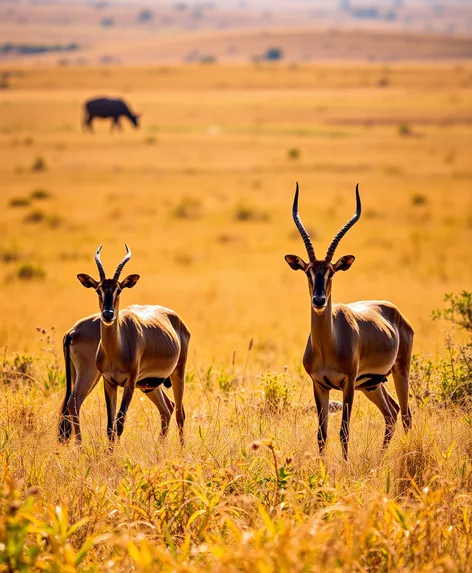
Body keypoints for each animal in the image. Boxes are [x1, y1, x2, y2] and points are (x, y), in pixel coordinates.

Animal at [59, 244, 190, 444]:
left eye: (118, 289)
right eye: (98, 289)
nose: (108, 314)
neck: (117, 348)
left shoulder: (130, 382)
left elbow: (119, 424)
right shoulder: (109, 382)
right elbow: (110, 428)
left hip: (175, 374)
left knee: (178, 412)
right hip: (145, 385)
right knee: (168, 408)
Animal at [284, 183, 412, 460]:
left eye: (331, 272)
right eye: (308, 271)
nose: (319, 300)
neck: (327, 345)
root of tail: (393, 311)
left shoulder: (348, 384)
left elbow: (344, 432)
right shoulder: (319, 385)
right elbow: (321, 435)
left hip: (399, 371)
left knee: (406, 414)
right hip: (372, 385)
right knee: (392, 412)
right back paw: (380, 460)